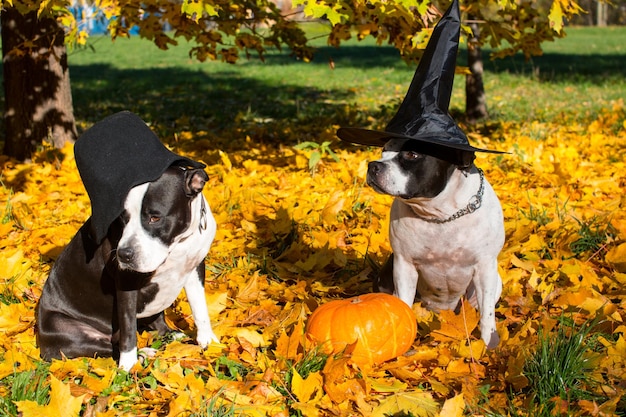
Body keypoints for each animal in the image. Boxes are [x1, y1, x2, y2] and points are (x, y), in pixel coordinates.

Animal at [336, 0, 502, 346]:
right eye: (383, 151)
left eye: (412, 154)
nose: (374, 166)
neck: (440, 214)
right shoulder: (403, 266)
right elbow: (401, 303)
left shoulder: (485, 269)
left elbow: (487, 318)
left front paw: (488, 345)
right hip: (386, 272)